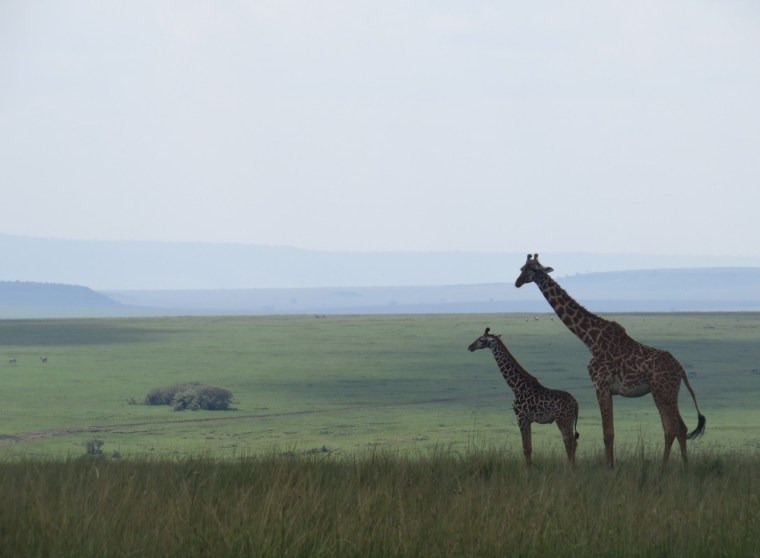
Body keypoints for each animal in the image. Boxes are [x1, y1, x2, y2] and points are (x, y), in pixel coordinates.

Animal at [468, 327, 580, 466]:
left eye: (481, 339)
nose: (470, 347)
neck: (516, 386)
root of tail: (576, 404)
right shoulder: (527, 420)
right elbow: (529, 448)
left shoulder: (521, 418)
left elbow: (526, 448)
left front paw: (527, 471)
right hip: (569, 421)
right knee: (573, 442)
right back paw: (573, 467)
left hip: (563, 420)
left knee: (569, 442)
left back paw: (570, 468)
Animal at [515, 253, 706, 468]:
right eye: (521, 268)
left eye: (532, 270)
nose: (517, 282)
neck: (590, 338)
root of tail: (680, 369)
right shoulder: (609, 390)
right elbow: (611, 432)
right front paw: (611, 466)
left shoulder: (601, 385)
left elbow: (607, 434)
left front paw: (609, 469)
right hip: (663, 393)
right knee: (672, 428)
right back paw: (668, 467)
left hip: (664, 391)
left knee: (678, 427)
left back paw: (679, 467)